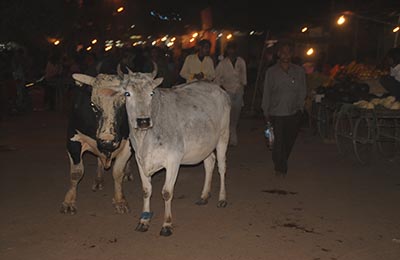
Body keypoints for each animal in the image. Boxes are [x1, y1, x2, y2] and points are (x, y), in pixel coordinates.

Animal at [61, 73, 132, 215]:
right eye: (93, 104)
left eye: (123, 104)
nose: (107, 140)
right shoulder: (73, 139)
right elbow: (76, 173)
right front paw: (69, 201)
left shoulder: (128, 144)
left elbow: (118, 173)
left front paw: (120, 201)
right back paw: (99, 179)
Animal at [120, 69, 230, 236]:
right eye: (127, 93)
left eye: (151, 93)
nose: (143, 121)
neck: (144, 138)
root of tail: (220, 90)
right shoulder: (140, 160)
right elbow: (146, 191)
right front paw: (143, 221)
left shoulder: (173, 160)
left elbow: (166, 192)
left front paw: (167, 224)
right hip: (205, 145)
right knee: (210, 163)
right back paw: (204, 196)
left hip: (223, 136)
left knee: (222, 167)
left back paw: (222, 199)